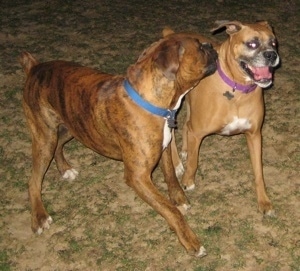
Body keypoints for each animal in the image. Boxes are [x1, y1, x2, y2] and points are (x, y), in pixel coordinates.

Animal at [19, 34, 218, 258]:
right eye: (200, 47)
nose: (211, 45)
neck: (152, 101)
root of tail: (35, 67)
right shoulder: (138, 177)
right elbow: (169, 210)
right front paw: (190, 240)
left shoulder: (164, 149)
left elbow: (171, 177)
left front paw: (179, 199)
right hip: (45, 137)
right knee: (33, 180)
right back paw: (39, 217)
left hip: (74, 125)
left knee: (58, 146)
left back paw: (65, 169)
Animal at [168, 20, 280, 217]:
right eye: (252, 43)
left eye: (274, 43)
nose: (272, 55)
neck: (237, 90)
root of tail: (171, 34)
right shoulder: (198, 132)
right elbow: (194, 161)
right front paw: (188, 180)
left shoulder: (254, 135)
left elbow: (259, 172)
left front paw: (264, 201)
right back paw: (177, 164)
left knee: (186, 124)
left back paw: (185, 150)